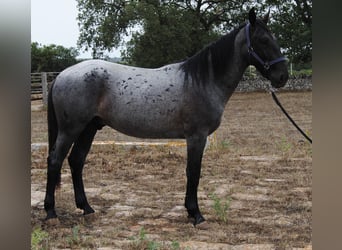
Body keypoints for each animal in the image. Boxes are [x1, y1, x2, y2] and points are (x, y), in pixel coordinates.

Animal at [43, 7, 288, 227]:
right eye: (263, 40)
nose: (282, 76)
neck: (202, 80)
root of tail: (63, 75)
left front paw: (191, 212)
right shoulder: (196, 137)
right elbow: (193, 172)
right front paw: (196, 214)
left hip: (89, 128)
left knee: (76, 161)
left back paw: (86, 208)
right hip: (71, 129)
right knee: (55, 161)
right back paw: (51, 213)